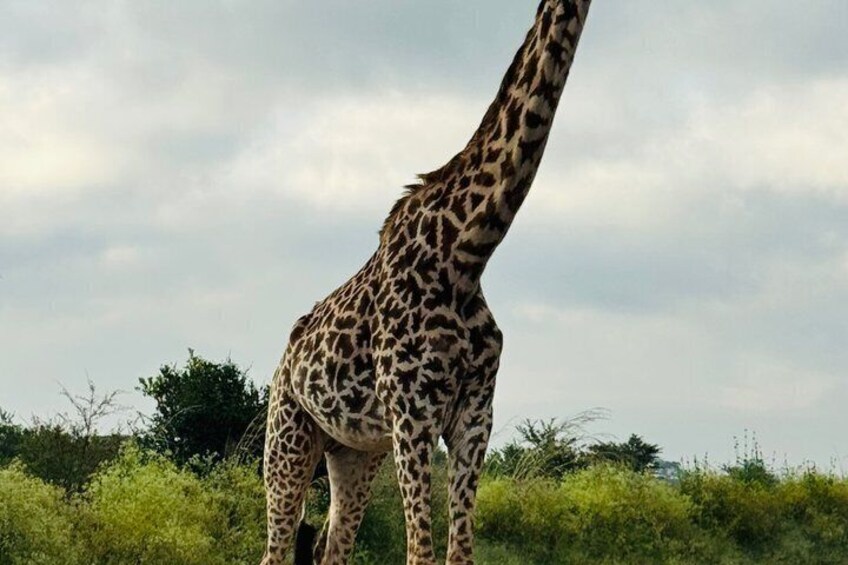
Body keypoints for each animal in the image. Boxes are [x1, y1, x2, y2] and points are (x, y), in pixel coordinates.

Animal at [263, 1, 594, 563]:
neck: (465, 253)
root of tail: (283, 363)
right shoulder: (411, 413)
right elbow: (420, 551)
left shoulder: (474, 414)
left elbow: (459, 552)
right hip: (287, 438)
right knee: (276, 547)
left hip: (353, 451)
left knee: (333, 546)